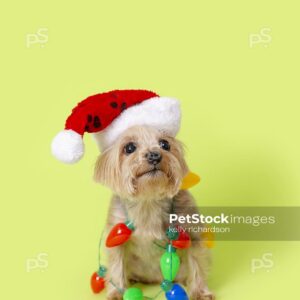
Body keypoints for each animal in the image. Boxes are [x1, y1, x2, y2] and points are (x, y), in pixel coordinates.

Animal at [94, 125, 213, 300]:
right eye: (129, 147)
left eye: (165, 144)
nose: (155, 155)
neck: (148, 201)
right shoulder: (116, 233)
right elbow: (116, 265)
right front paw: (116, 293)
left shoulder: (192, 232)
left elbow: (196, 262)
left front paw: (200, 292)